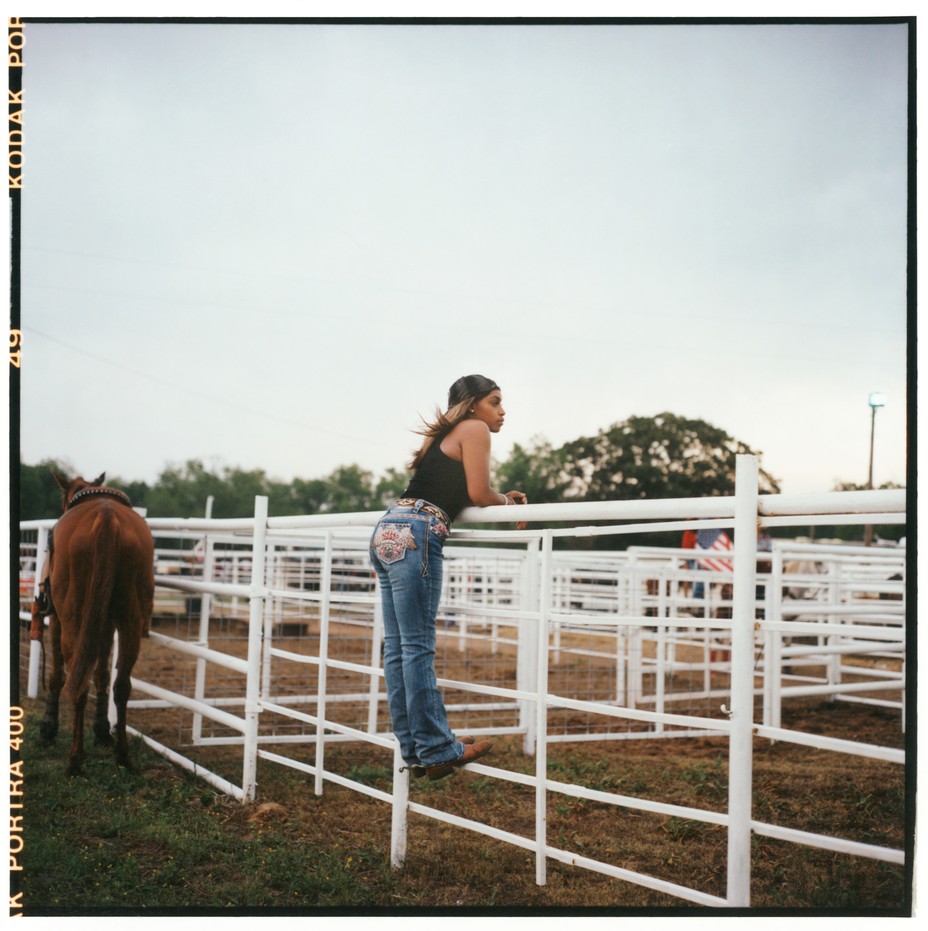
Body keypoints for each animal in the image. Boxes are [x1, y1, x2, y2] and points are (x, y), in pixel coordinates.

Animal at [37, 474, 154, 772]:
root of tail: (106, 517)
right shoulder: (106, 623)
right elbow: (102, 673)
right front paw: (102, 731)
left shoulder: (56, 619)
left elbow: (57, 675)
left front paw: (48, 728)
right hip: (129, 621)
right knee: (121, 685)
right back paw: (123, 755)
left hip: (72, 619)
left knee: (78, 684)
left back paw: (75, 758)